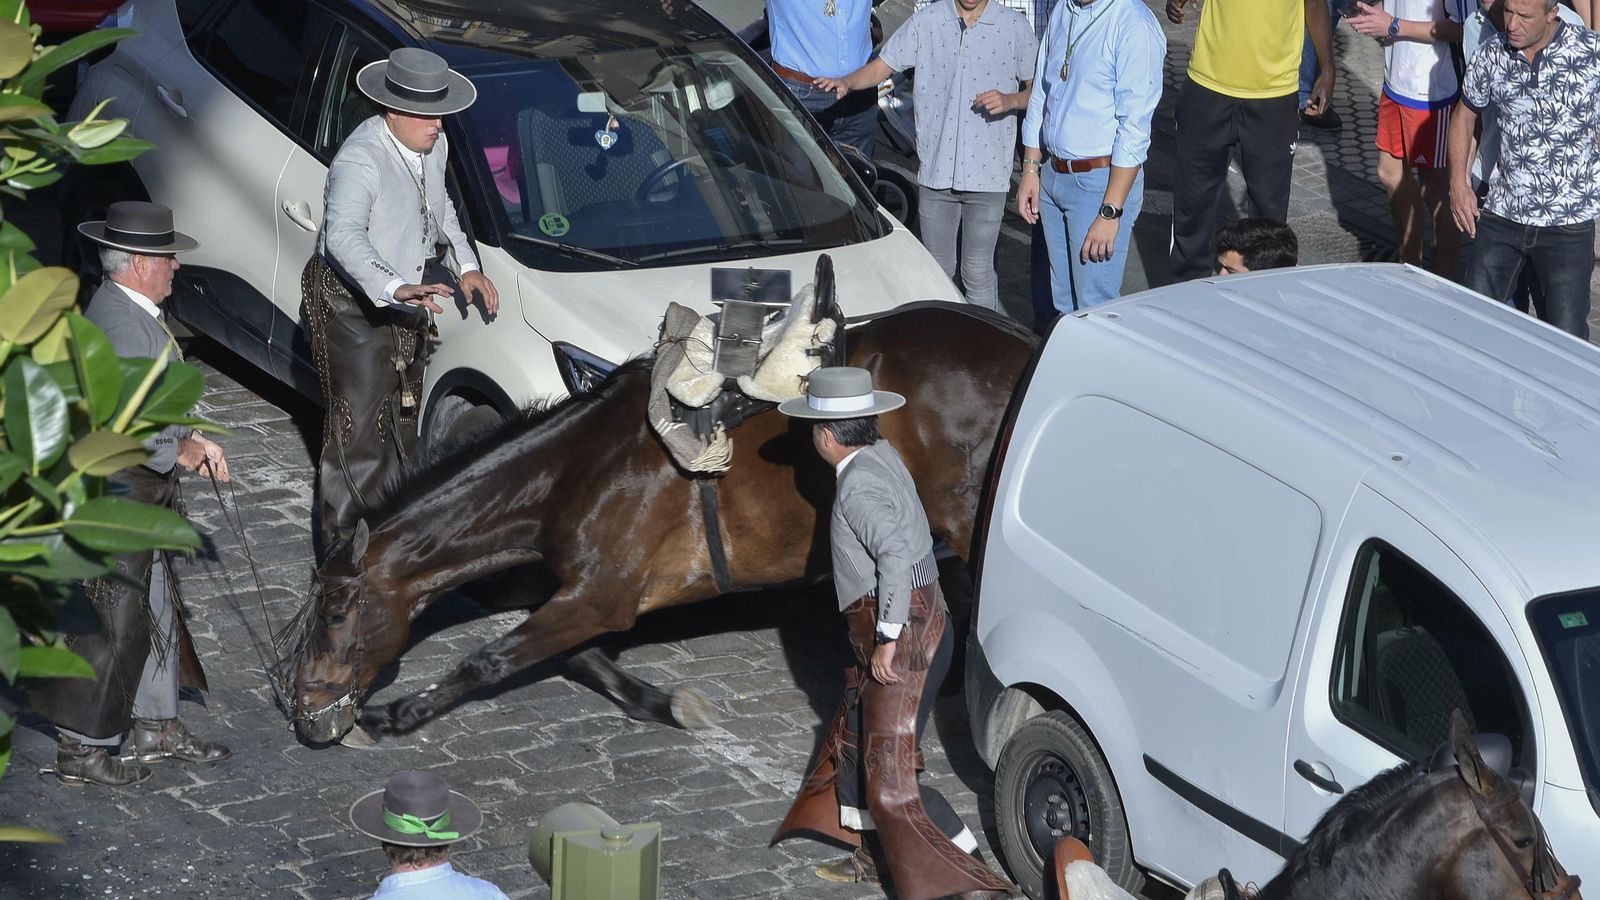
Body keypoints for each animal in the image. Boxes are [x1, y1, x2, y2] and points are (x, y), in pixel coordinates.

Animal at [286, 302, 1035, 745]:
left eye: (334, 613)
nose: (305, 712)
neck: (573, 470)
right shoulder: (589, 597)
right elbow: (582, 660)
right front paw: (666, 704)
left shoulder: (601, 595)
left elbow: (488, 659)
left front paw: (397, 714)